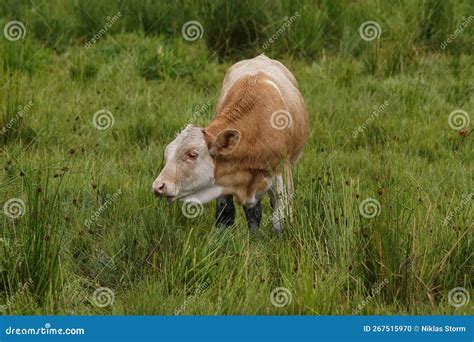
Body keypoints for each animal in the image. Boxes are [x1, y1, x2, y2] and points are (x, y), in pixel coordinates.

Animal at [151, 54, 308, 232]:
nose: (158, 186)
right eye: (167, 154)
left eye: (192, 154)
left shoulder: (282, 174)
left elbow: (280, 219)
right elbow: (225, 214)